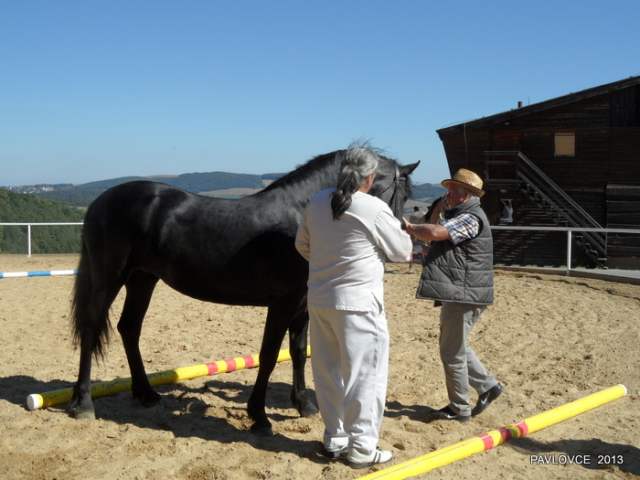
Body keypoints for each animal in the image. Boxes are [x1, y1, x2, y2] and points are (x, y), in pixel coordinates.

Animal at [68, 149, 419, 435]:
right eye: (399, 193)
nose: (402, 244)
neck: (300, 213)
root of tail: (100, 202)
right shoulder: (282, 304)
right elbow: (268, 355)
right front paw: (259, 417)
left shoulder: (302, 304)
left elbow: (297, 352)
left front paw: (304, 404)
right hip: (108, 278)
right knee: (91, 328)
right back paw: (83, 403)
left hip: (143, 279)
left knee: (129, 328)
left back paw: (146, 394)